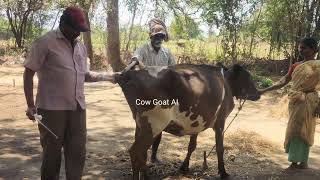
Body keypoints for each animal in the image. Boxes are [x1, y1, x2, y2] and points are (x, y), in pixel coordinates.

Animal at [115, 62, 260, 179]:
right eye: (248, 77)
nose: (258, 94)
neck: (226, 83)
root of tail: (130, 74)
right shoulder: (220, 120)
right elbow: (220, 147)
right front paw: (223, 173)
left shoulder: (196, 122)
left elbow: (192, 146)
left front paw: (184, 167)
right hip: (154, 125)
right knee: (136, 152)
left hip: (141, 125)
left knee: (141, 154)